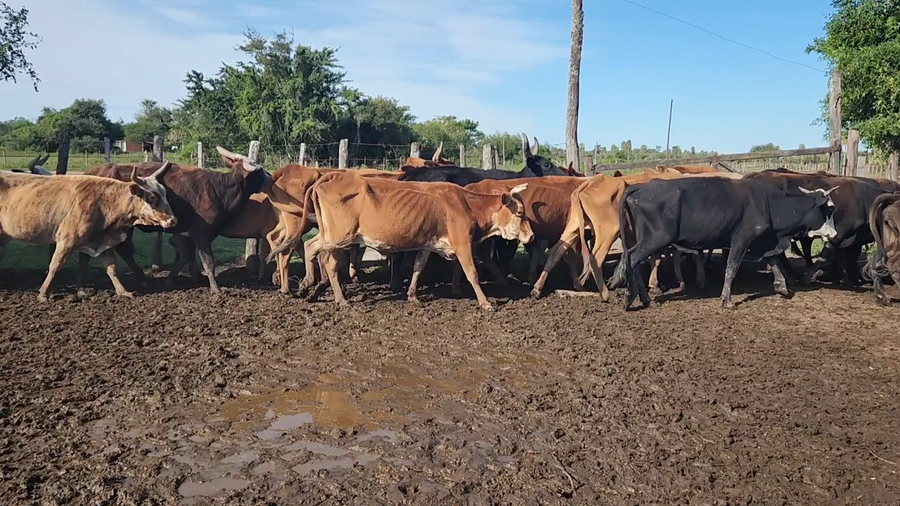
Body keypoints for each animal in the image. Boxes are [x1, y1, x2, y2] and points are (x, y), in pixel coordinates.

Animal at [0, 168, 176, 300]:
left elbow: (111, 269)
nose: (173, 220)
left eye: (165, 194)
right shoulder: (66, 241)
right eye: (152, 196)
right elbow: (55, 266)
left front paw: (123, 292)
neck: (104, 201)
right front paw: (43, 294)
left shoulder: (105, 243)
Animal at [83, 147, 269, 294]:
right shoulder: (201, 232)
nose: (270, 176)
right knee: (122, 249)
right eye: (259, 170)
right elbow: (207, 260)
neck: (220, 190)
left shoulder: (193, 233)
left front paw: (178, 278)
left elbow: (186, 254)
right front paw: (215, 288)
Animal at [266, 172, 534, 310]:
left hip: (328, 234)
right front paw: (486, 303)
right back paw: (340, 298)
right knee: (328, 263)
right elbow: (473, 274)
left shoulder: (427, 244)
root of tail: (331, 176)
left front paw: (413, 295)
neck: (465, 203)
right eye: (520, 212)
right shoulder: (462, 245)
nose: (530, 236)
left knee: (309, 246)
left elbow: (417, 268)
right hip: (340, 237)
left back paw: (307, 286)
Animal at [618, 177, 838, 310]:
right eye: (829, 209)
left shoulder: (763, 240)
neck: (769, 203)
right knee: (633, 259)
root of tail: (642, 186)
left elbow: (774, 261)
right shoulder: (741, 239)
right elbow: (731, 268)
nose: (834, 233)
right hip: (655, 239)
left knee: (632, 260)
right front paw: (727, 300)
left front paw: (782, 287)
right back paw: (633, 297)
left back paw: (643, 299)